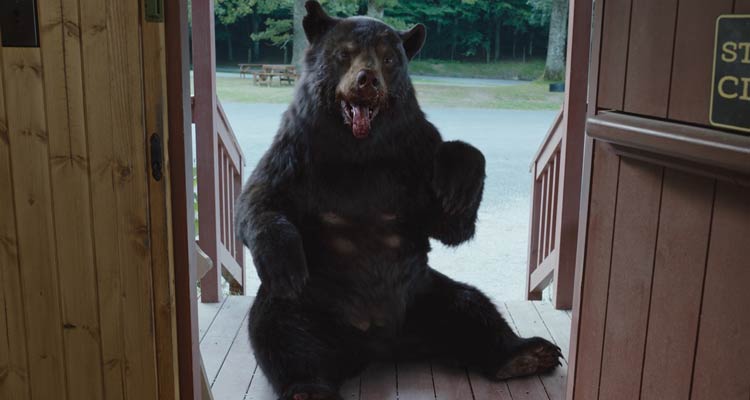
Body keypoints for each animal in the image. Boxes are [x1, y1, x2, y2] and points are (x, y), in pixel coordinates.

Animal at [235, 2, 562, 399]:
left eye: (389, 58)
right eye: (344, 53)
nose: (367, 80)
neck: (359, 149)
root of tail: (379, 345)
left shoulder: (411, 155)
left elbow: (450, 224)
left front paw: (457, 180)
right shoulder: (298, 151)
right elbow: (260, 200)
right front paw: (283, 261)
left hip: (423, 293)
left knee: (471, 305)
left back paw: (524, 354)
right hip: (312, 304)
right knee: (280, 330)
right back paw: (309, 386)